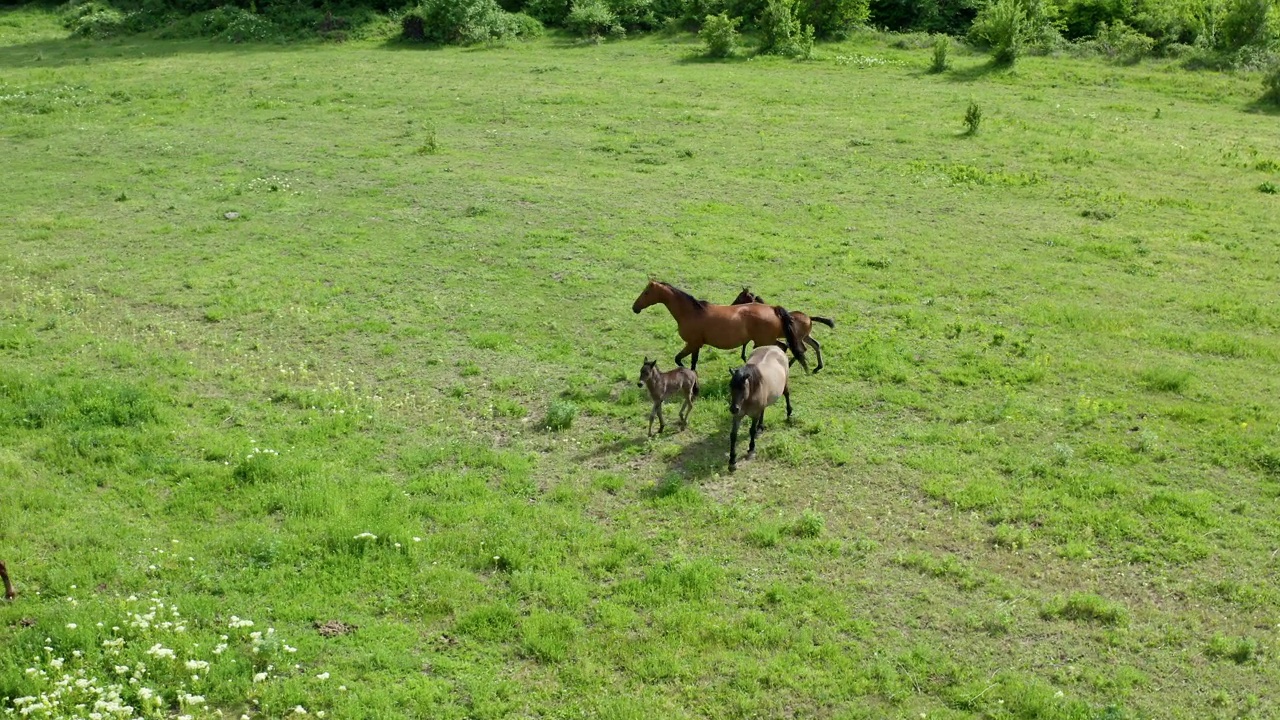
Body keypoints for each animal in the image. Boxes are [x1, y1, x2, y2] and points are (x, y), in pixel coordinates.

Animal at [632, 279, 808, 371]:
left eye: (646, 292)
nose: (635, 307)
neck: (691, 312)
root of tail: (773, 309)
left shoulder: (692, 343)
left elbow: (679, 360)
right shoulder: (696, 345)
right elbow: (692, 362)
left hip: (764, 341)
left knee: (783, 347)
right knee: (783, 347)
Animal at [732, 345, 788, 474]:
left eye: (743, 388)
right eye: (730, 386)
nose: (733, 408)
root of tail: (775, 347)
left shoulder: (754, 415)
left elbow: (751, 431)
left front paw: (751, 450)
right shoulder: (738, 416)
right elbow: (733, 435)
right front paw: (732, 462)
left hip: (786, 383)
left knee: (787, 395)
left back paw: (790, 414)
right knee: (763, 409)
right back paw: (760, 428)